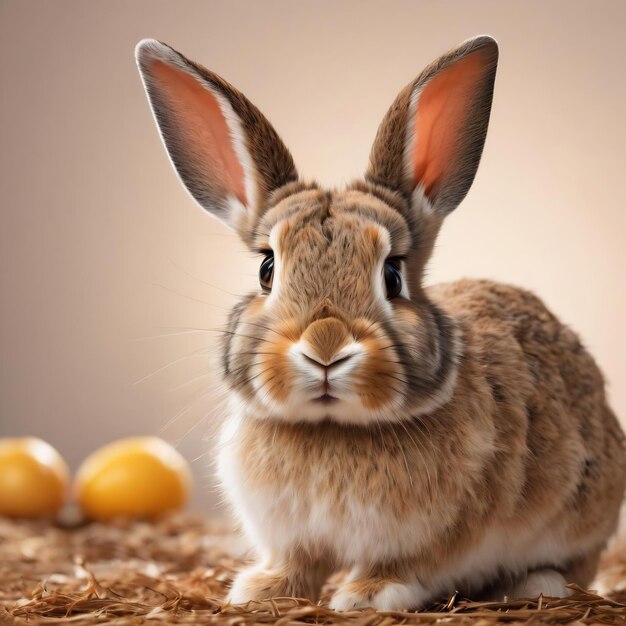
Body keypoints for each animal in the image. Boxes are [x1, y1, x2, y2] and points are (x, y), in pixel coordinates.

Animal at [136, 35, 624, 608]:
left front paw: (367, 596)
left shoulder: (437, 534)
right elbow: (296, 563)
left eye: (393, 274)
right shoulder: (291, 536)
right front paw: (261, 591)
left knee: (576, 565)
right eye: (266, 269)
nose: (325, 348)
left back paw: (535, 583)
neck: (333, 430)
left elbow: (401, 565)